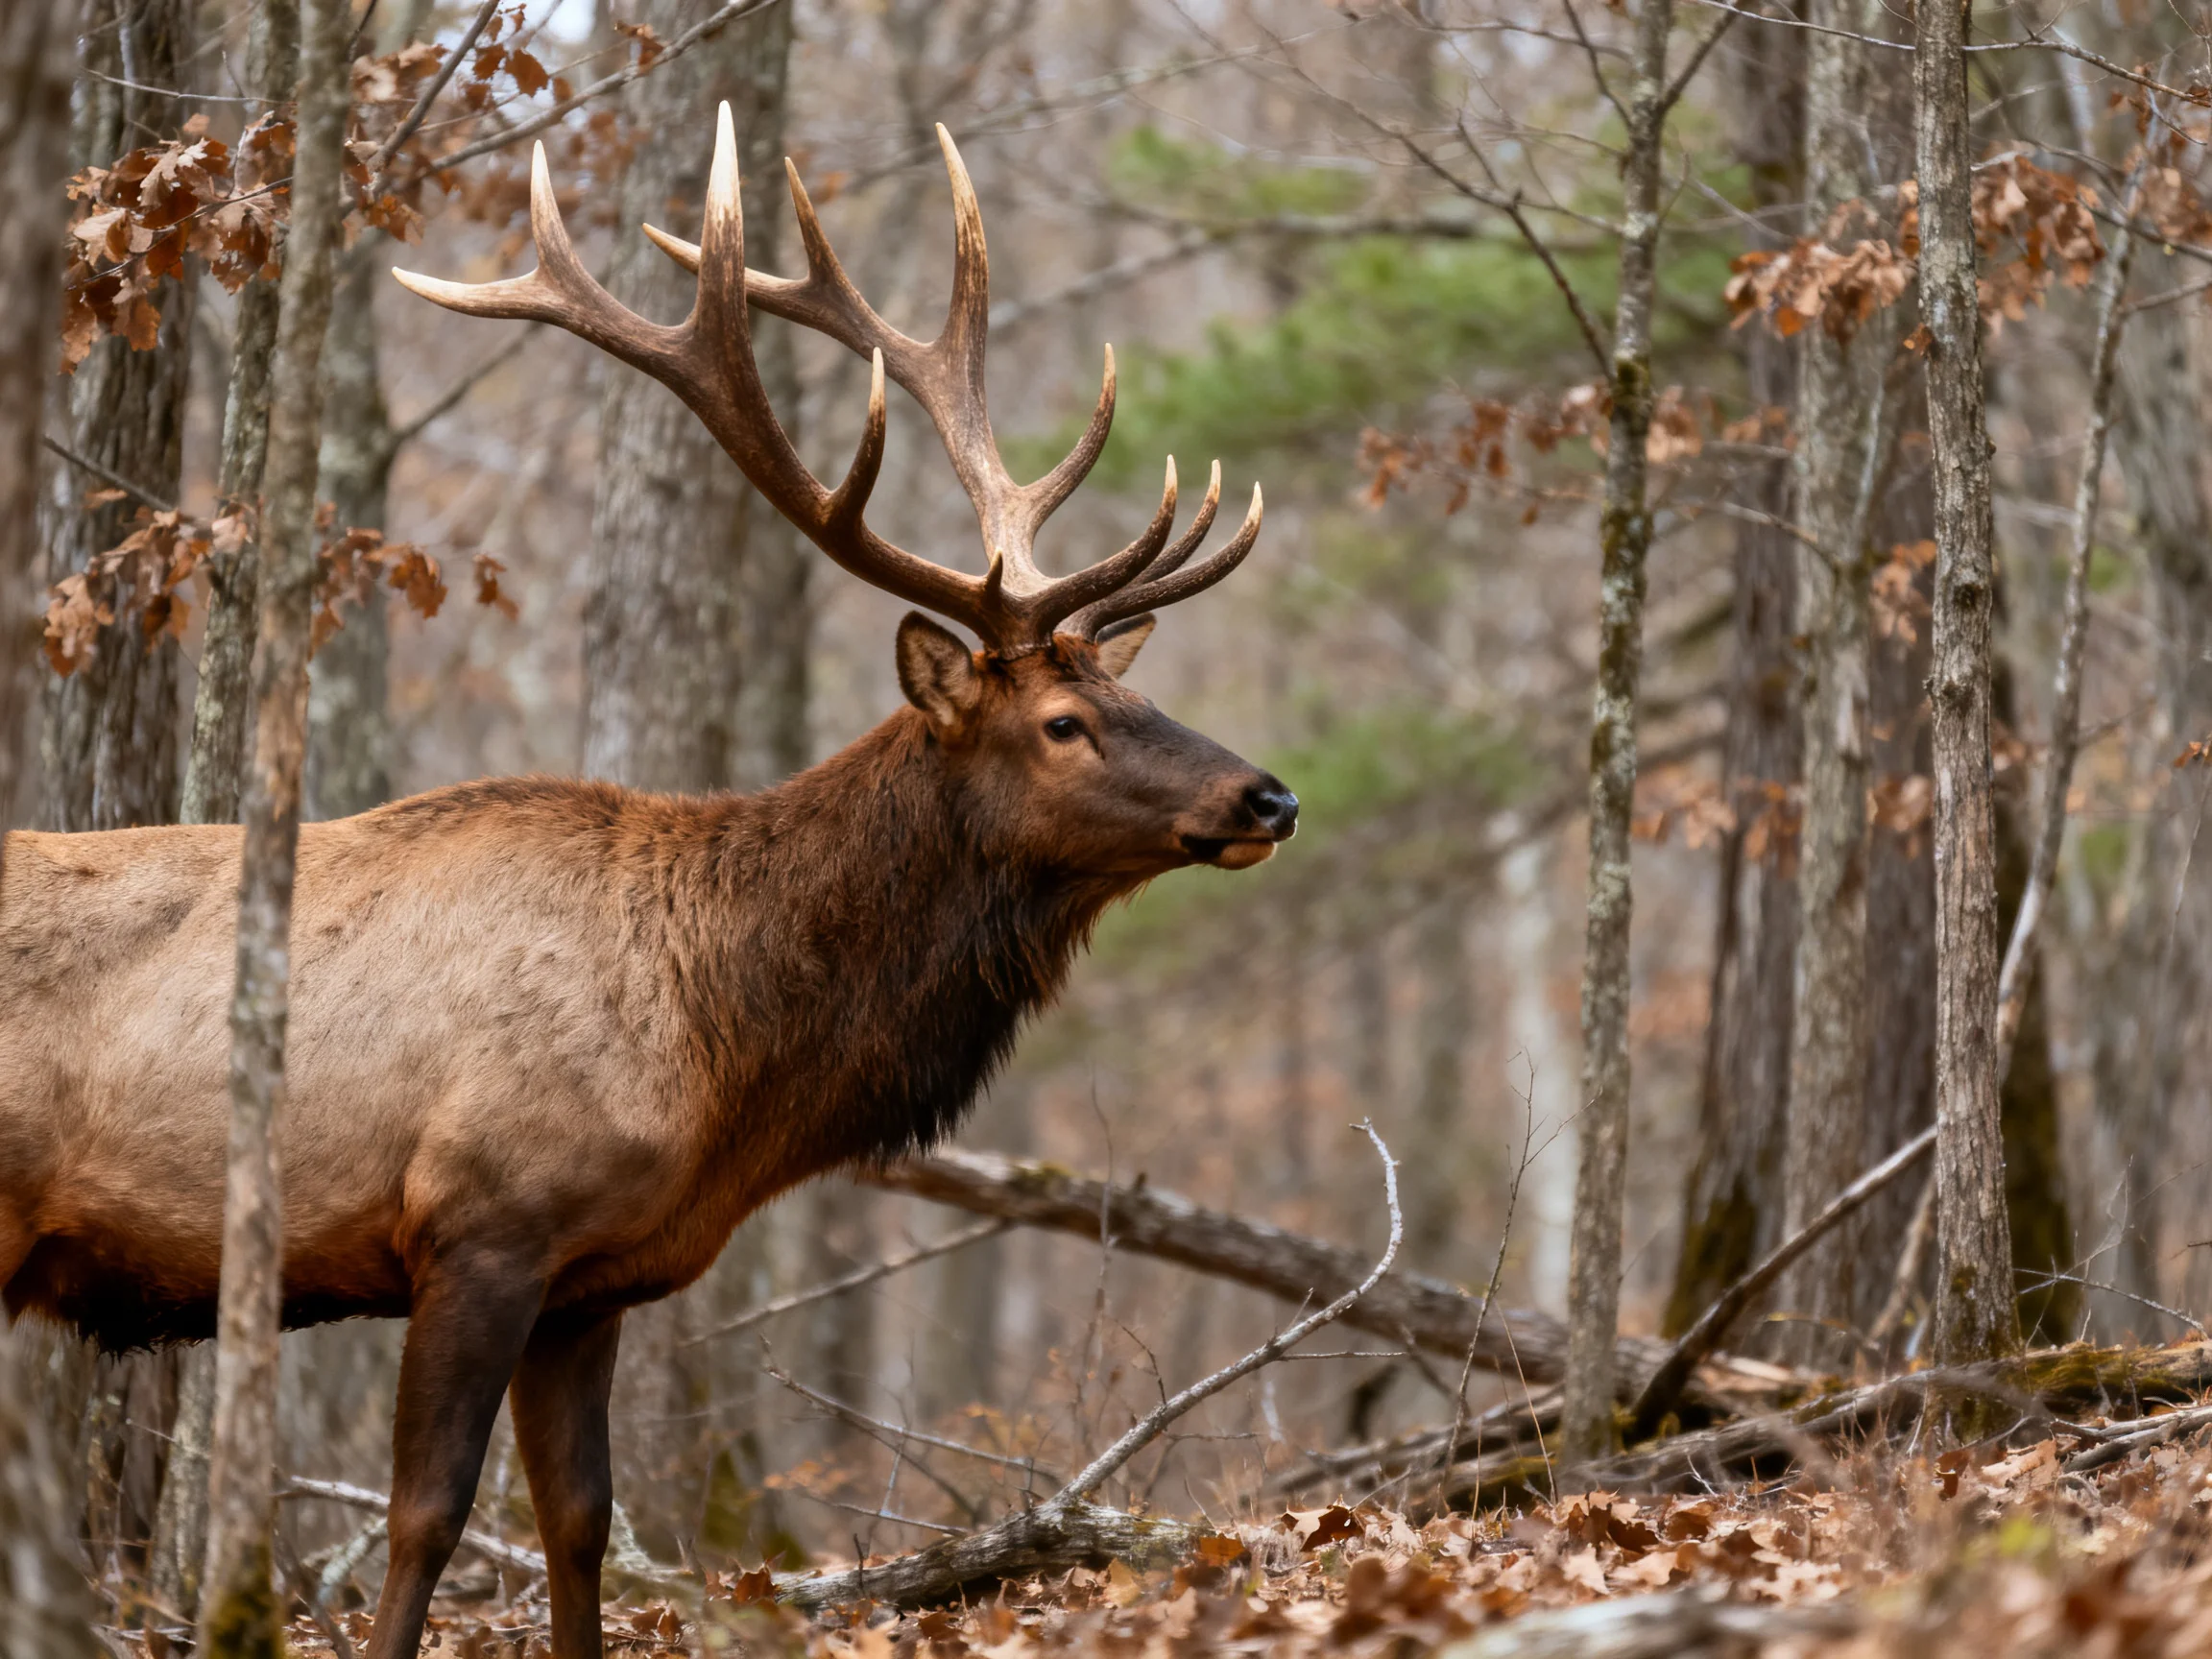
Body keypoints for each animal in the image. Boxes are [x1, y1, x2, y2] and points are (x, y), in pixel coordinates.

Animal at [0, 106, 1292, 1658]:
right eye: (1061, 722)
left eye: (1127, 689)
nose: (1267, 795)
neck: (718, 1049)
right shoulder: (479, 1223)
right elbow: (427, 1518)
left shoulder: (591, 1280)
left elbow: (580, 1522)